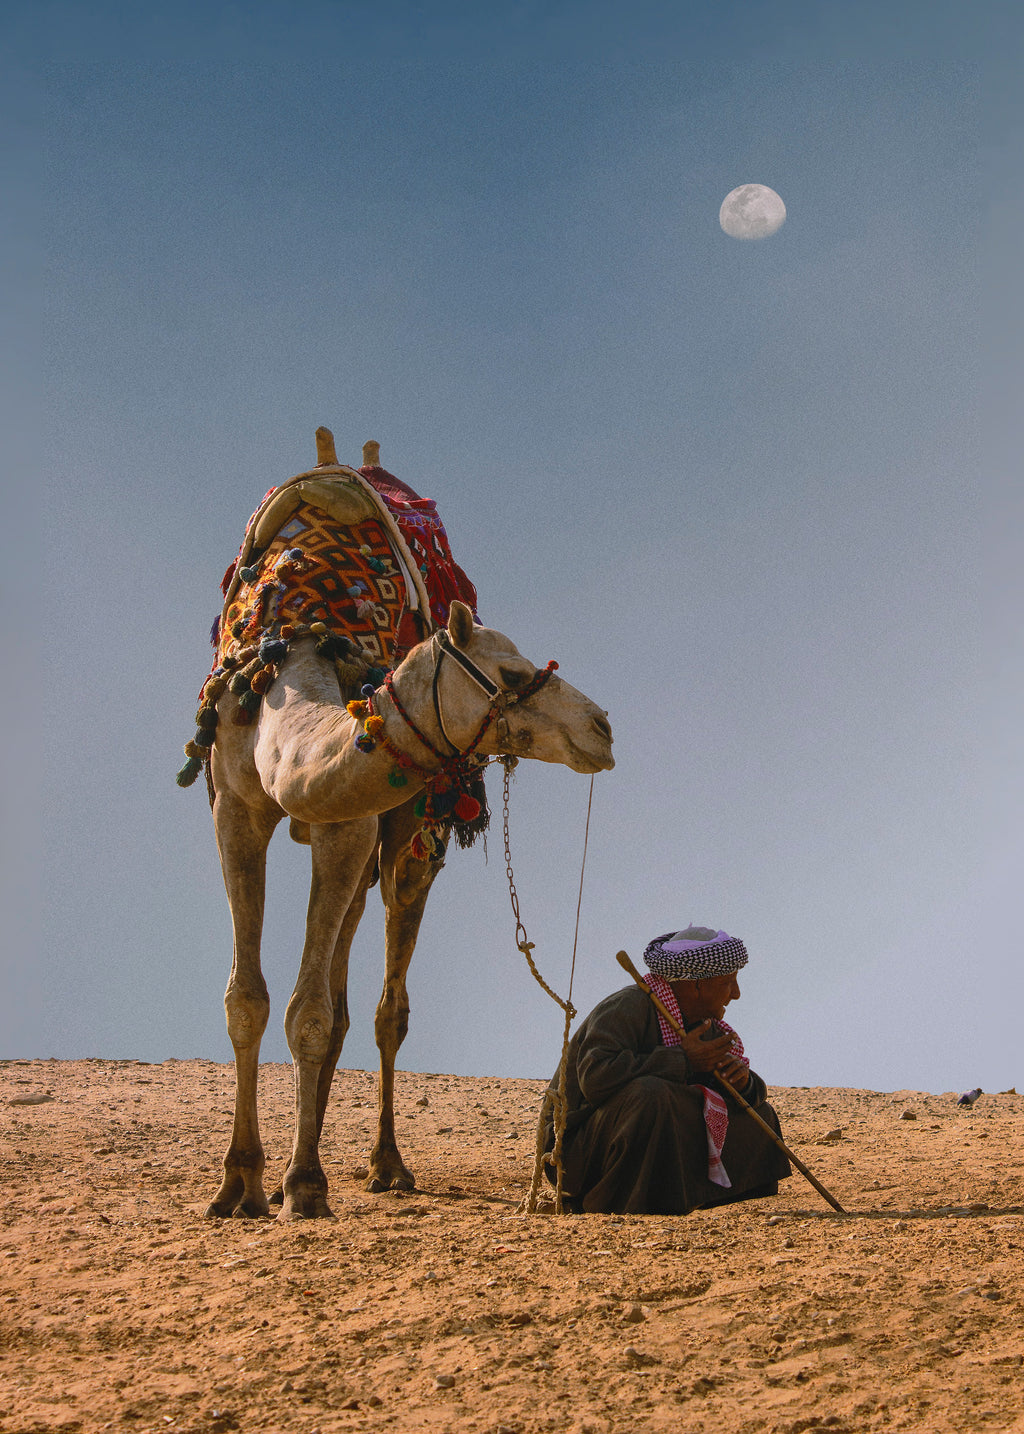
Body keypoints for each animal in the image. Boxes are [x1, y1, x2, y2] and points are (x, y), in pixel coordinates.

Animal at [198, 464, 614, 1220]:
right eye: (511, 675)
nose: (601, 726)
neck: (296, 656)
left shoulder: (348, 825)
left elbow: (309, 1012)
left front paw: (304, 1184)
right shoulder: (236, 810)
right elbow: (249, 999)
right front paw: (239, 1184)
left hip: (411, 837)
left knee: (384, 1006)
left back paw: (384, 1164)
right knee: (341, 993)